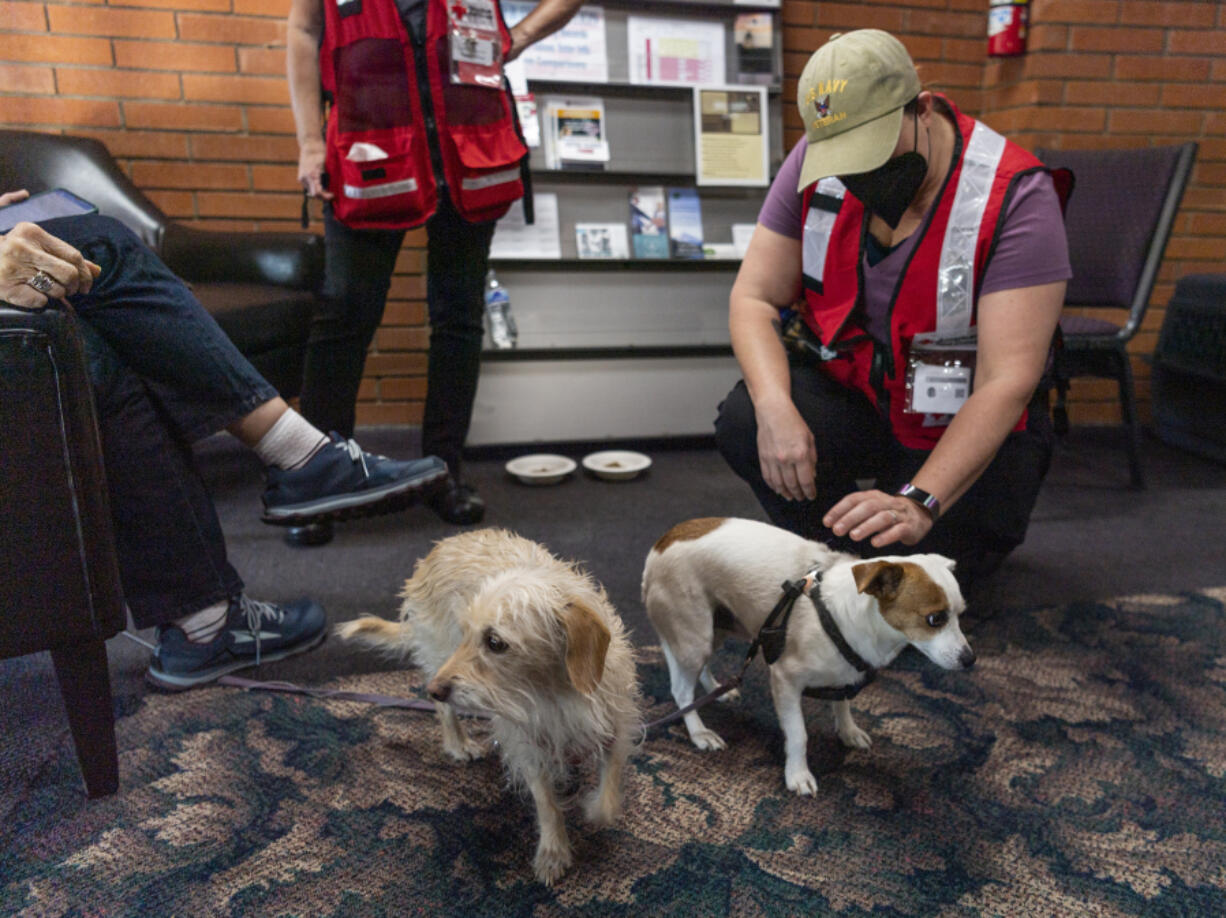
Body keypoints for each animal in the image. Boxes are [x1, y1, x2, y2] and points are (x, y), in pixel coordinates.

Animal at [335, 527, 642, 882]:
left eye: (495, 642)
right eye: (465, 633)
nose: (435, 689)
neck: (553, 687)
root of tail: (443, 546)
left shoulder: (615, 721)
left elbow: (609, 792)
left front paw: (593, 809)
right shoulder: (523, 741)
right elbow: (545, 801)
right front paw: (553, 850)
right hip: (439, 655)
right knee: (445, 711)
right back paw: (457, 742)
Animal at [642, 514, 975, 794]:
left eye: (961, 615)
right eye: (935, 619)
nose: (970, 660)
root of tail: (661, 543)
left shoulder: (843, 673)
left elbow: (842, 704)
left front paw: (848, 731)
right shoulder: (785, 680)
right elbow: (799, 734)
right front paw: (798, 775)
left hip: (717, 628)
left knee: (703, 668)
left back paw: (717, 689)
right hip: (694, 638)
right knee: (681, 690)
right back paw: (700, 732)